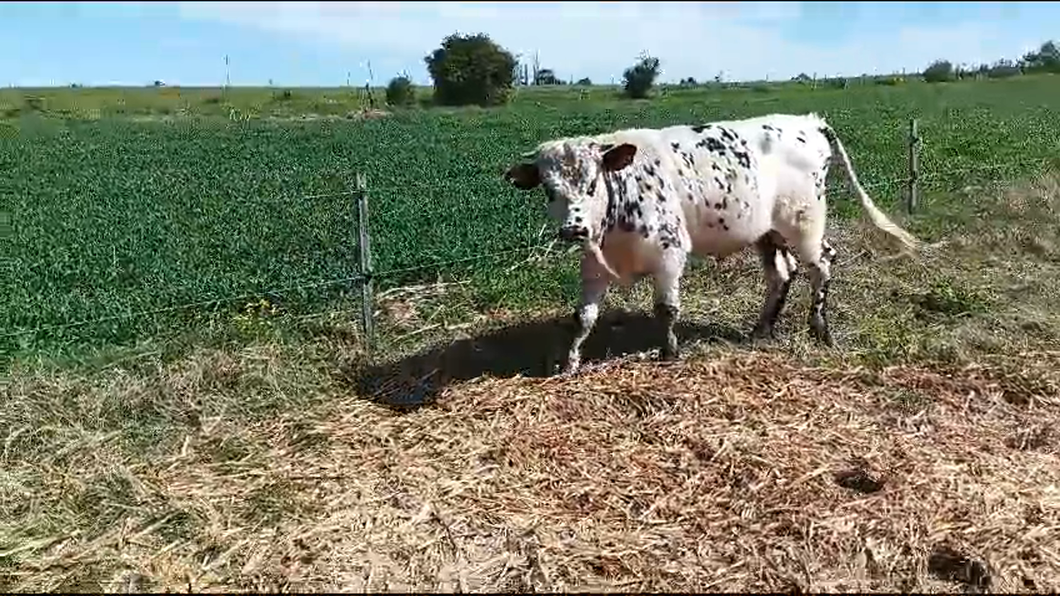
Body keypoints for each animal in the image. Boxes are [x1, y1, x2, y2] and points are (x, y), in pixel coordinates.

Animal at [504, 112, 920, 371]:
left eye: (592, 184)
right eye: (549, 190)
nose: (574, 229)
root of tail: (808, 121)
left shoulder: (670, 253)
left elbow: (666, 308)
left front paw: (669, 352)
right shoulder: (593, 263)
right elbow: (583, 316)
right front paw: (570, 362)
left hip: (805, 225)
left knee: (822, 264)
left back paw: (819, 328)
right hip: (767, 232)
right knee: (782, 273)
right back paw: (762, 329)